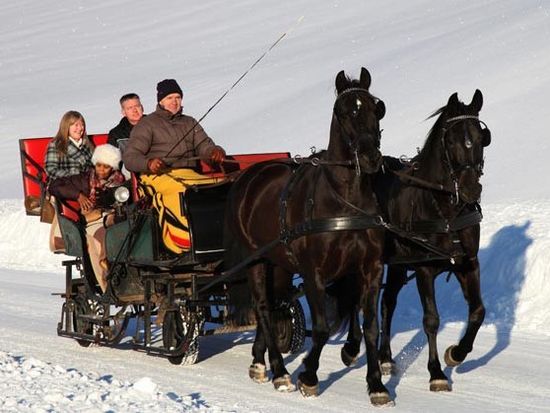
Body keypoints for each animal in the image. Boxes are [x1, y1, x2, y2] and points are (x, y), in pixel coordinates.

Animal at [224, 68, 392, 406]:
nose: (371, 158)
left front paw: (377, 386)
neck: (345, 199)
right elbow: (324, 328)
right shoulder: (314, 272)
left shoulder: (370, 268)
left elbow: (371, 327)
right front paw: (309, 376)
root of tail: (247, 177)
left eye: (376, 108)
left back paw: (259, 361)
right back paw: (279, 372)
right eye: (344, 112)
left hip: (279, 264)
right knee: (263, 307)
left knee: (272, 305)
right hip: (256, 259)